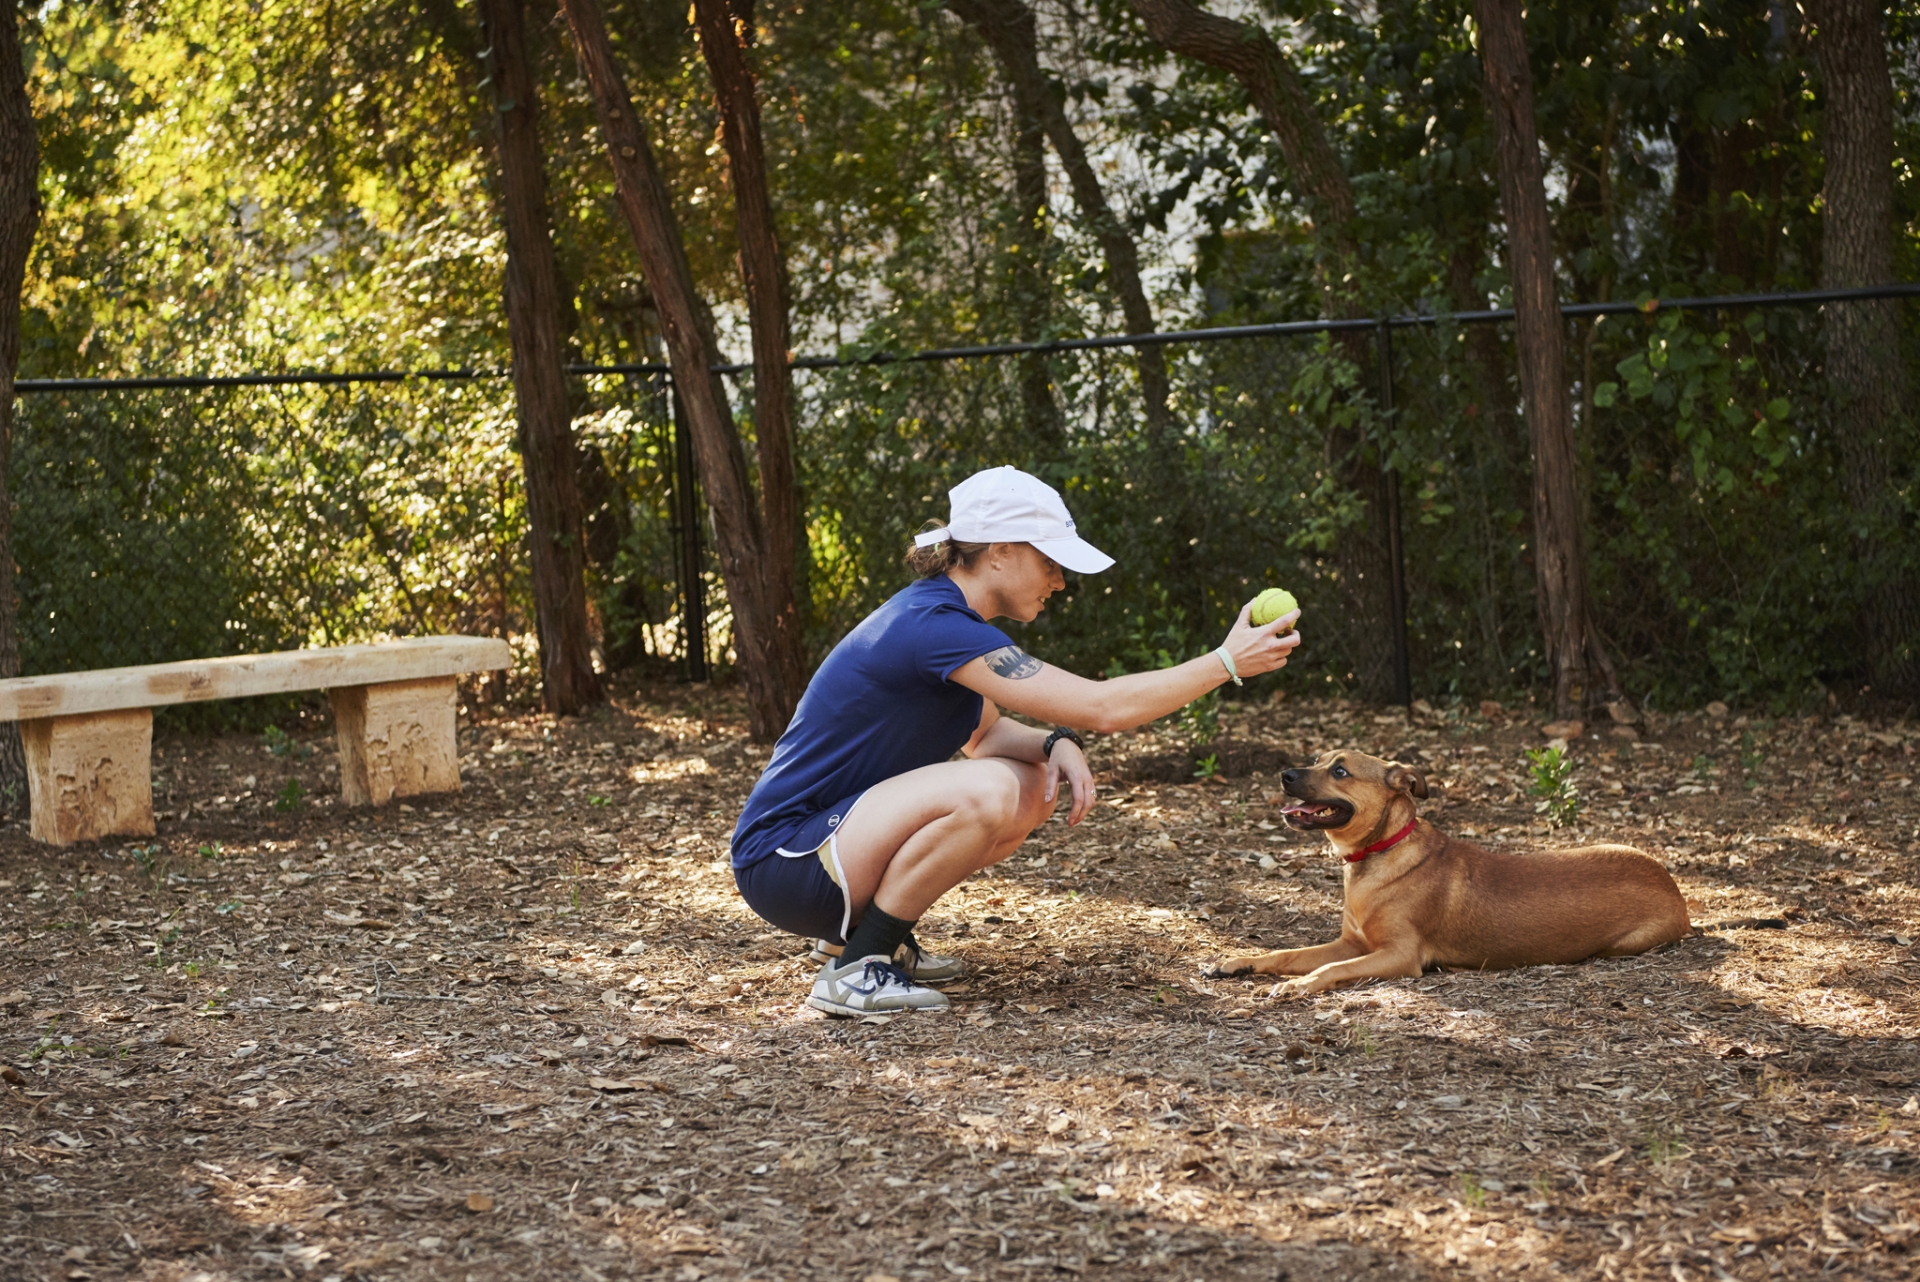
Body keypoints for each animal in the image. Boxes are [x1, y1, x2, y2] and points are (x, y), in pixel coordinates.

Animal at [1205, 752, 1689, 997]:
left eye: (1340, 770)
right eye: (1317, 759)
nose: (1284, 774)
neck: (1380, 852)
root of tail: (1671, 884)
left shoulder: (1399, 956)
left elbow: (1329, 969)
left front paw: (1300, 984)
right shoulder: (1351, 943)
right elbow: (1287, 953)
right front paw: (1239, 962)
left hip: (1624, 944)